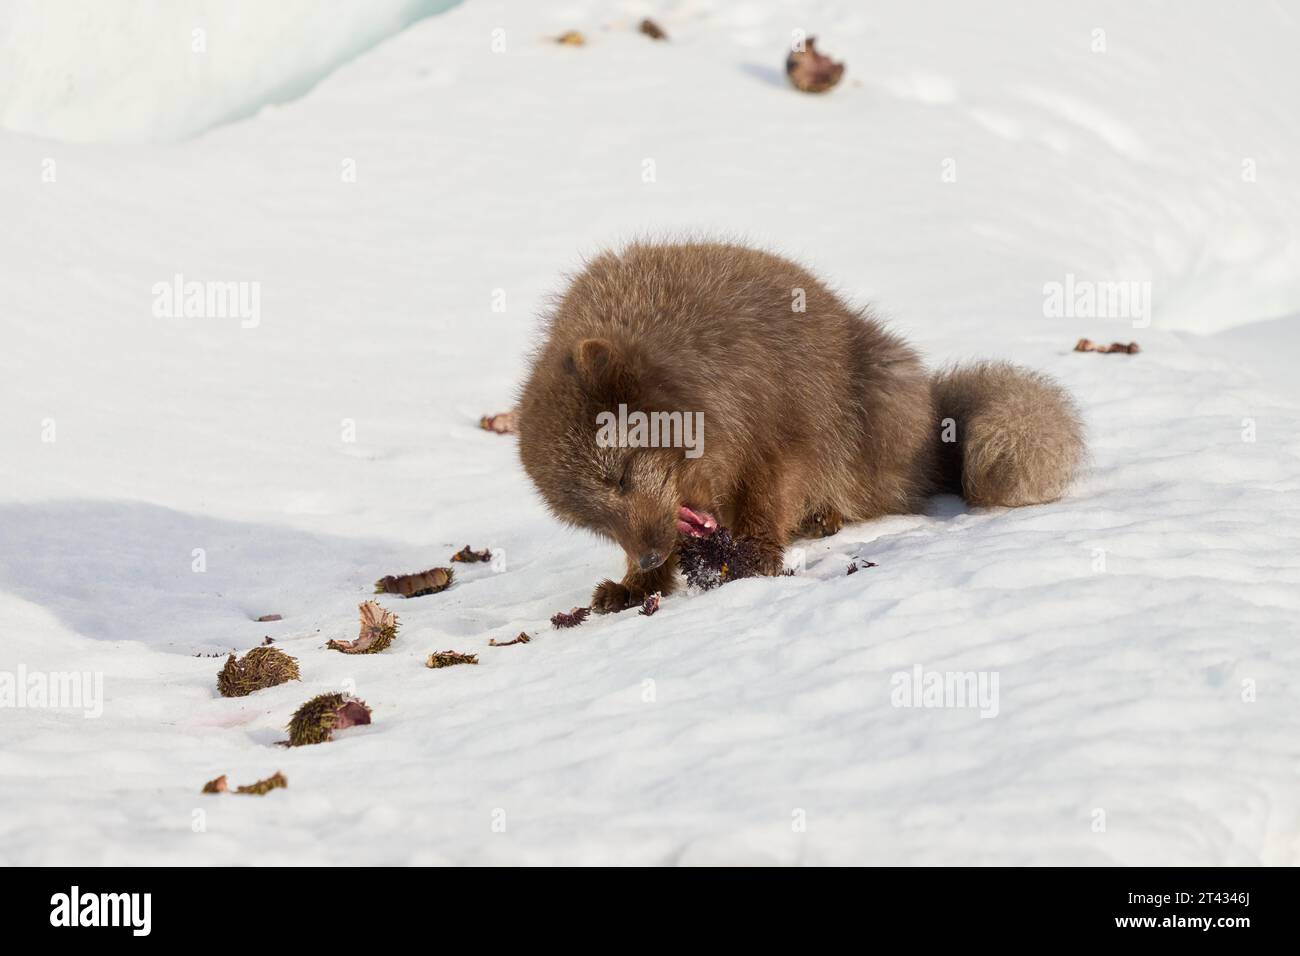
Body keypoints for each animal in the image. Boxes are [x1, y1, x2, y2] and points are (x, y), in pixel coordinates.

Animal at [516, 241, 1084, 613]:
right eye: (592, 518)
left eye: (620, 477)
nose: (651, 554)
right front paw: (636, 584)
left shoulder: (779, 436)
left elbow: (767, 501)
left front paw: (751, 562)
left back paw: (824, 517)